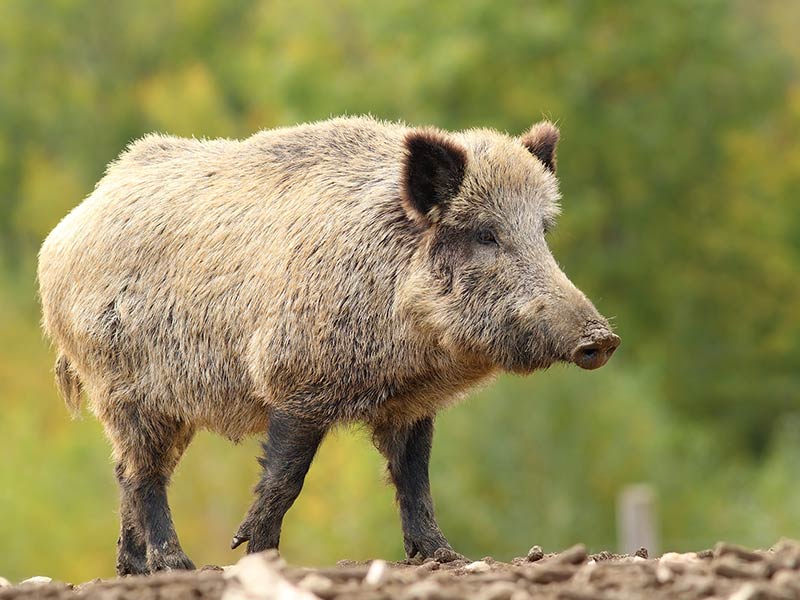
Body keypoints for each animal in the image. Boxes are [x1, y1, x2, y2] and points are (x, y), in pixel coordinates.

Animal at [37, 116, 619, 575]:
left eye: (542, 232)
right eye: (485, 234)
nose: (603, 338)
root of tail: (66, 230)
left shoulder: (410, 403)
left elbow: (415, 478)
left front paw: (444, 557)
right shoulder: (295, 381)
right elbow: (285, 479)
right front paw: (258, 555)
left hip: (166, 406)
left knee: (125, 471)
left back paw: (135, 569)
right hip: (124, 387)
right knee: (144, 474)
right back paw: (178, 566)